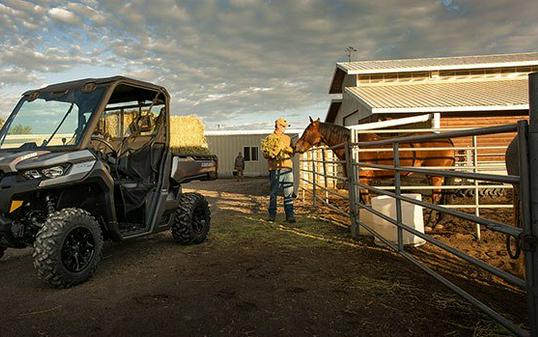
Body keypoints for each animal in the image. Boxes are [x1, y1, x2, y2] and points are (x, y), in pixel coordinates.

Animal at [292, 116, 454, 228]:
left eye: (307, 131)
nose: (296, 147)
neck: (351, 148)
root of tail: (447, 141)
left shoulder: (362, 180)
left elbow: (366, 201)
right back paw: (439, 222)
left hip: (435, 176)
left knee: (436, 197)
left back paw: (430, 224)